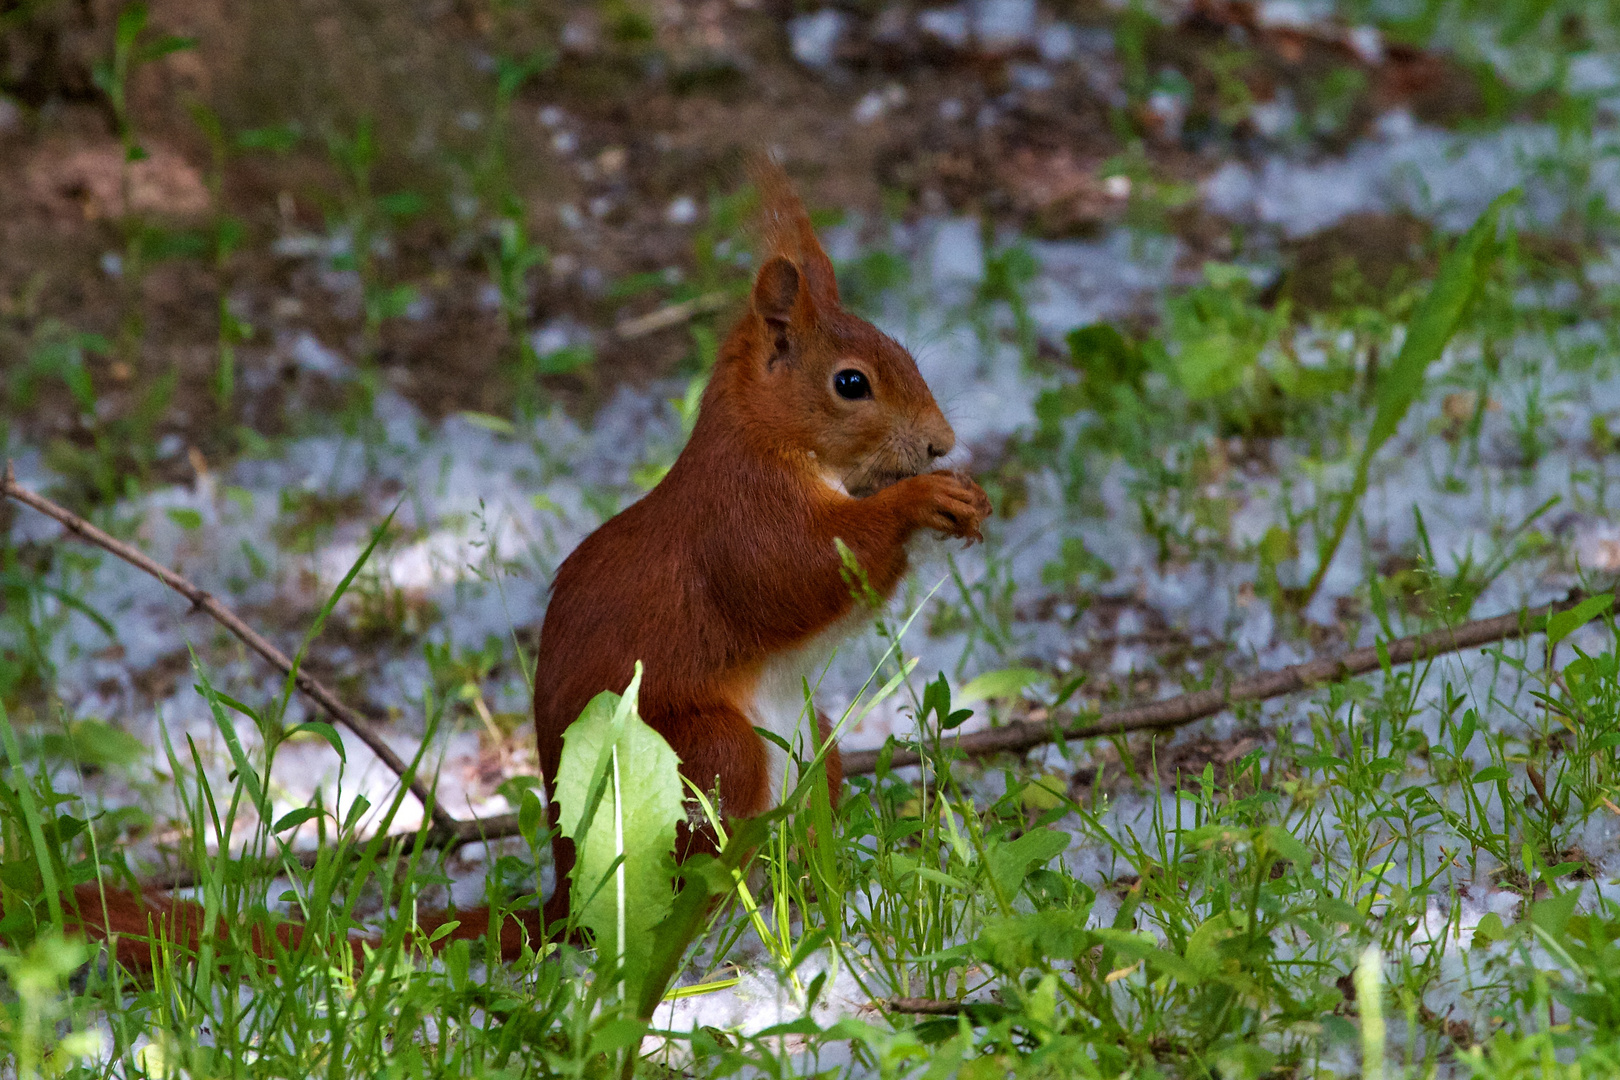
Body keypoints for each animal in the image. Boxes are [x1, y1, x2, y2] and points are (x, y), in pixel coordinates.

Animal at [41, 160, 984, 971]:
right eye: (852, 383)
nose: (942, 441)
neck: (771, 440)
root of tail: (567, 900)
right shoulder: (740, 520)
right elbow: (804, 574)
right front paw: (922, 502)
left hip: (813, 749)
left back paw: (819, 895)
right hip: (705, 755)